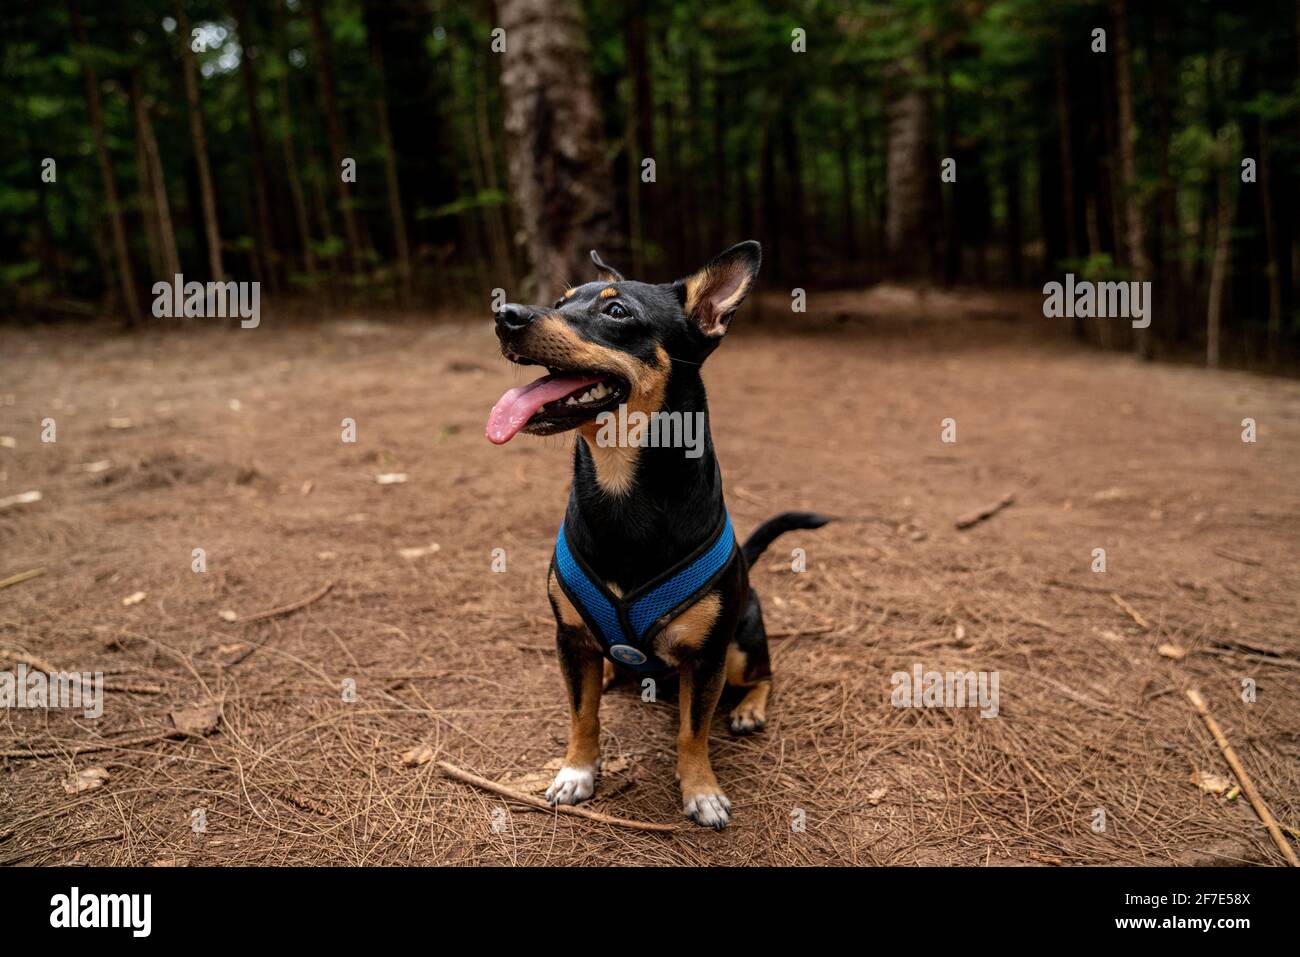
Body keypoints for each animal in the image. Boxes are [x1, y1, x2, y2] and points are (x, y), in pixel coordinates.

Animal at [483, 240, 826, 832]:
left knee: (764, 673)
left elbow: (692, 731)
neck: (623, 490)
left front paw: (701, 791)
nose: (505, 314)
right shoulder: (570, 639)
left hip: (741, 644)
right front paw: (577, 771)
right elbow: (583, 716)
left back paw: (748, 708)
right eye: (561, 301)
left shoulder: (708, 659)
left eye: (617, 312)